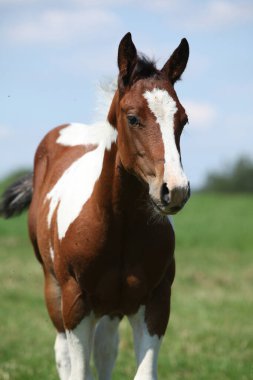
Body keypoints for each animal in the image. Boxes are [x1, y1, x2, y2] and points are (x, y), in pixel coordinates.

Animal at [0, 33, 190, 380]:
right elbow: (77, 369)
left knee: (105, 349)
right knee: (64, 352)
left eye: (182, 119)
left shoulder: (156, 302)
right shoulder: (76, 303)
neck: (119, 224)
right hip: (54, 291)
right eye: (132, 118)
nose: (175, 190)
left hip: (113, 306)